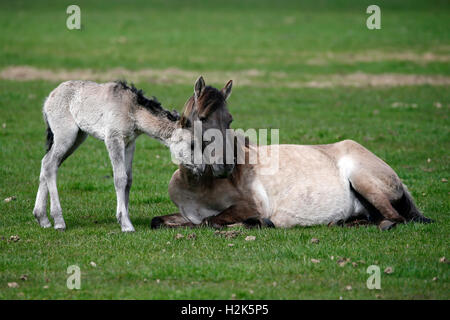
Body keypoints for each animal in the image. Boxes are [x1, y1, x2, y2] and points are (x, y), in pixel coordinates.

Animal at [33, 79, 192, 231]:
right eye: (192, 144)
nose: (195, 167)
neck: (132, 110)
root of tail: (49, 98)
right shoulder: (113, 139)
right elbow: (120, 178)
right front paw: (126, 224)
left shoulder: (129, 143)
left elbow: (129, 179)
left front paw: (124, 217)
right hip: (65, 135)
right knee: (50, 165)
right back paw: (59, 222)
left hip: (77, 137)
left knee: (47, 163)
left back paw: (42, 219)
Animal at [151, 77, 432, 232]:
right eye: (202, 117)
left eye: (229, 120)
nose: (226, 165)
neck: (198, 186)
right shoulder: (185, 213)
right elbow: (160, 220)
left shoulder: (250, 206)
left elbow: (210, 222)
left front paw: (259, 223)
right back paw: (338, 222)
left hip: (365, 181)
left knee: (393, 218)